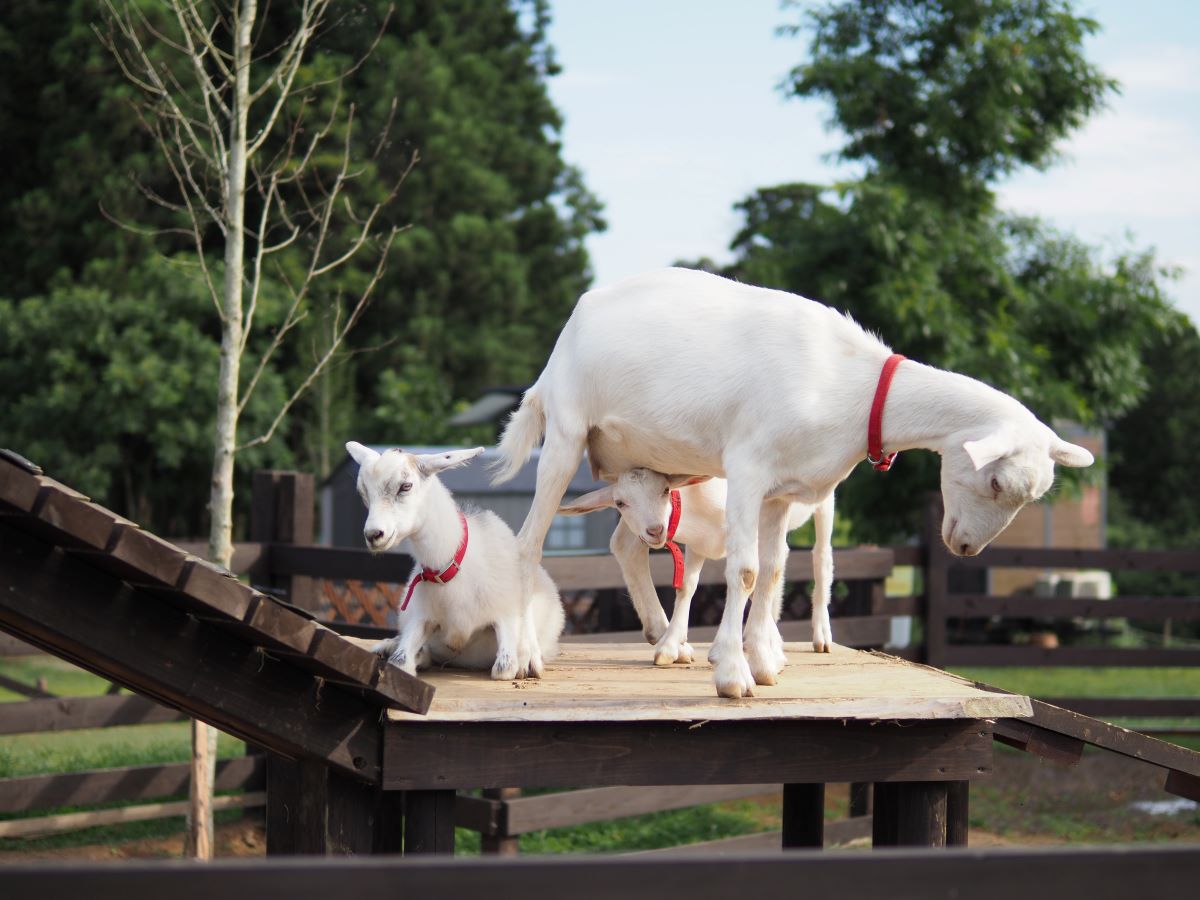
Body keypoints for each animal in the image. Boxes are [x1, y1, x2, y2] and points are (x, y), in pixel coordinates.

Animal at [350, 441, 564, 681]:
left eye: (405, 486)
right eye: (363, 492)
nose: (373, 534)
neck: (452, 570)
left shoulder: (505, 616)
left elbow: (504, 669)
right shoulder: (420, 618)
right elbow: (400, 663)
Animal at [556, 468, 830, 672]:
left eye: (665, 490)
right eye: (620, 503)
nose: (655, 530)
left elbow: (759, 577)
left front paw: (768, 650)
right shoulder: (698, 543)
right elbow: (687, 586)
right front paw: (669, 646)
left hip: (824, 501)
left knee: (820, 557)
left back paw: (821, 637)